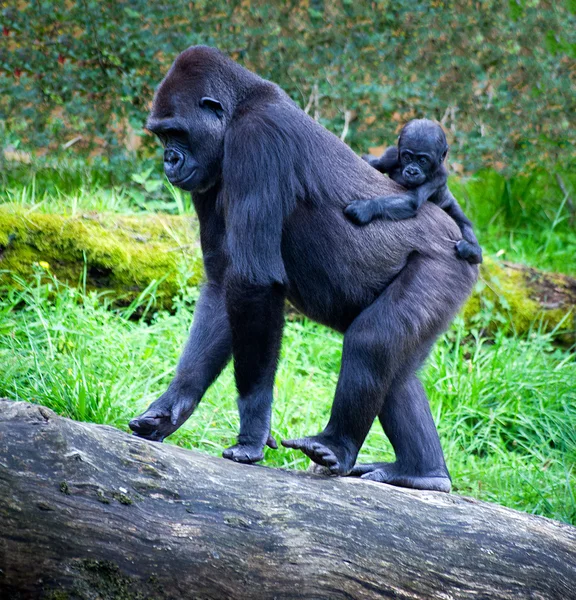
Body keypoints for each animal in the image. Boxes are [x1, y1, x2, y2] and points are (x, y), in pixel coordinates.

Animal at [344, 118, 484, 264]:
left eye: (422, 161)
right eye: (407, 157)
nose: (412, 171)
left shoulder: (438, 176)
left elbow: (413, 199)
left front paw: (366, 207)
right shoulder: (391, 155)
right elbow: (372, 163)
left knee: (463, 224)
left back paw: (473, 251)